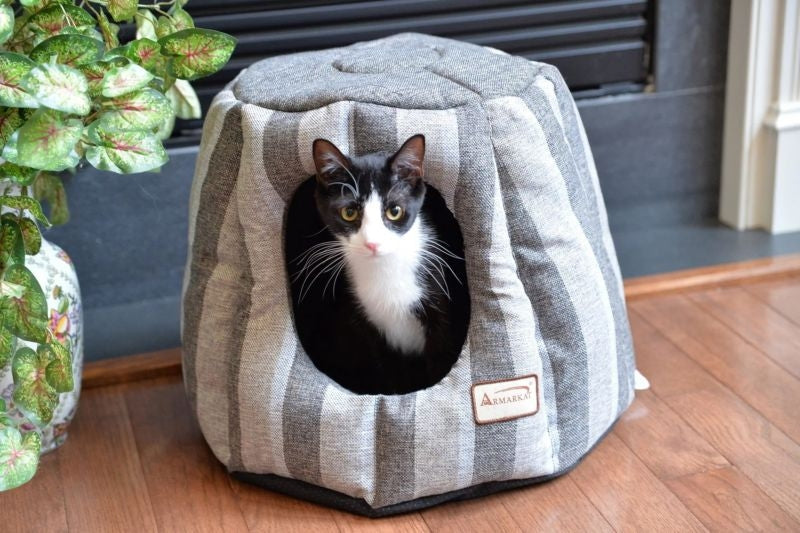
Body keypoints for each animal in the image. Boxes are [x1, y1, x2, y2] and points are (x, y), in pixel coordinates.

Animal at [284, 134, 470, 395]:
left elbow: (441, 357)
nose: (372, 243)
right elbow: (388, 370)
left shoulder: (441, 311)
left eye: (394, 211)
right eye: (349, 212)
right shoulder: (367, 326)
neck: (385, 270)